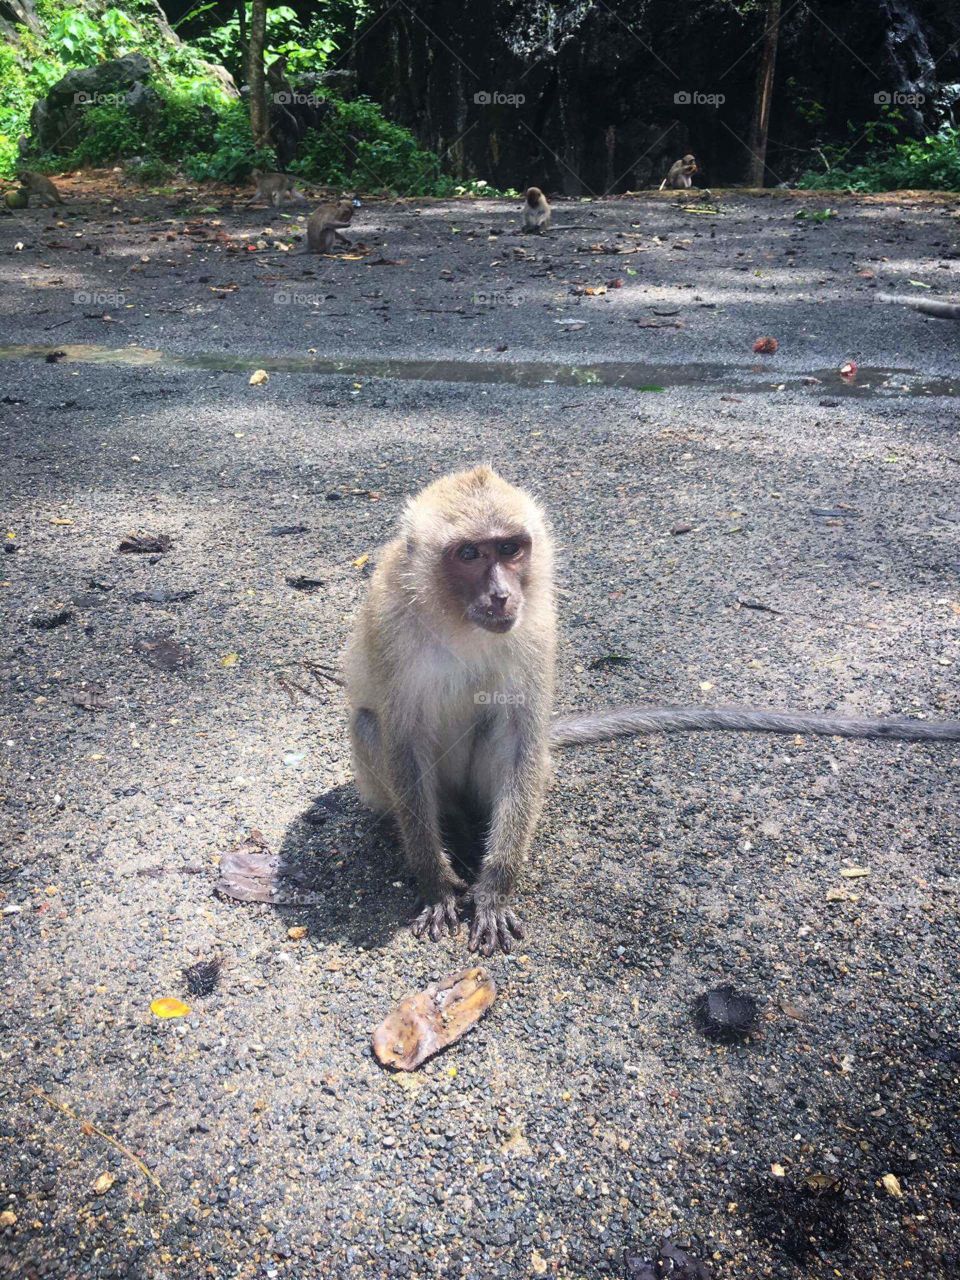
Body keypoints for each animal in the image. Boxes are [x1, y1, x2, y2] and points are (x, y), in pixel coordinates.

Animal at [344, 467, 960, 956]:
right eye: (469, 554)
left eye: (510, 549)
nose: (501, 595)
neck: (458, 623)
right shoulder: (392, 625)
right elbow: (401, 737)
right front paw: (435, 884)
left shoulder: (537, 623)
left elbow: (522, 737)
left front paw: (495, 888)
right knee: (373, 729)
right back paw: (451, 828)